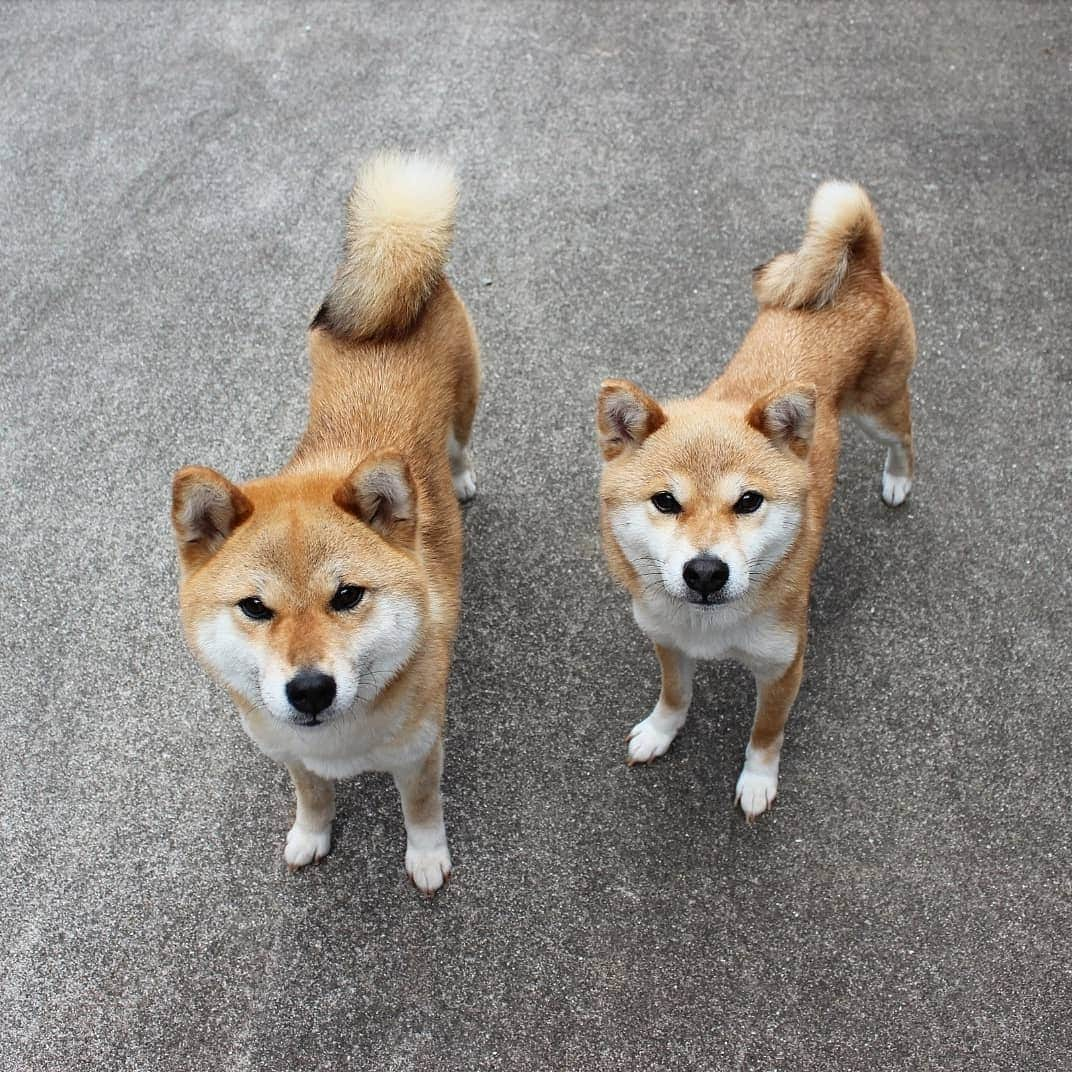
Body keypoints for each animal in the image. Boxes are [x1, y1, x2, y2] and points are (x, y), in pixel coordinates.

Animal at [171, 149, 482, 887]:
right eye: (255, 608)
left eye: (348, 597)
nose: (309, 689)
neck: (343, 742)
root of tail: (396, 255)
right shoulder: (293, 755)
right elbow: (311, 797)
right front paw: (311, 836)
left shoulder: (420, 753)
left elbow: (421, 812)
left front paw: (427, 858)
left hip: (466, 401)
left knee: (459, 444)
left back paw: (459, 480)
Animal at [596, 182, 913, 819]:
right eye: (665, 502)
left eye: (748, 501)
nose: (705, 572)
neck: (708, 628)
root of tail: (860, 266)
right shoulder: (667, 642)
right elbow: (675, 696)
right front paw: (660, 732)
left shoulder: (784, 665)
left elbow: (766, 733)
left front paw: (758, 780)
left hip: (881, 410)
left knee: (907, 438)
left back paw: (898, 479)